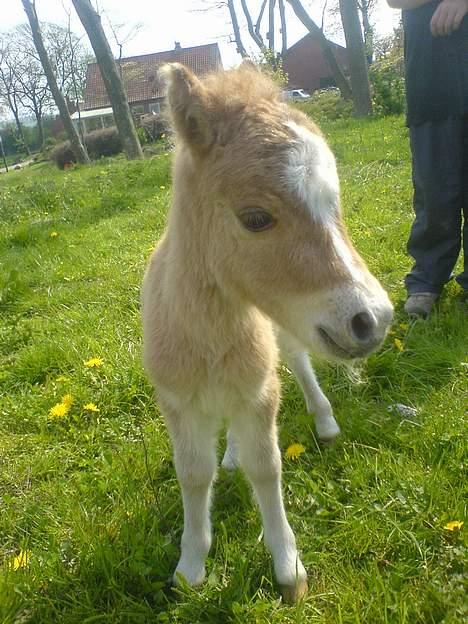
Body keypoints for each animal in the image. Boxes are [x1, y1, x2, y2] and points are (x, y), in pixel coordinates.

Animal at [141, 62, 394, 600]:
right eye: (255, 218)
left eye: (334, 203)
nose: (373, 319)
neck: (210, 340)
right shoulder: (177, 400)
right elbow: (193, 474)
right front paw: (190, 567)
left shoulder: (260, 390)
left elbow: (267, 466)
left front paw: (288, 568)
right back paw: (231, 455)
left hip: (283, 331)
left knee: (297, 360)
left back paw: (324, 421)